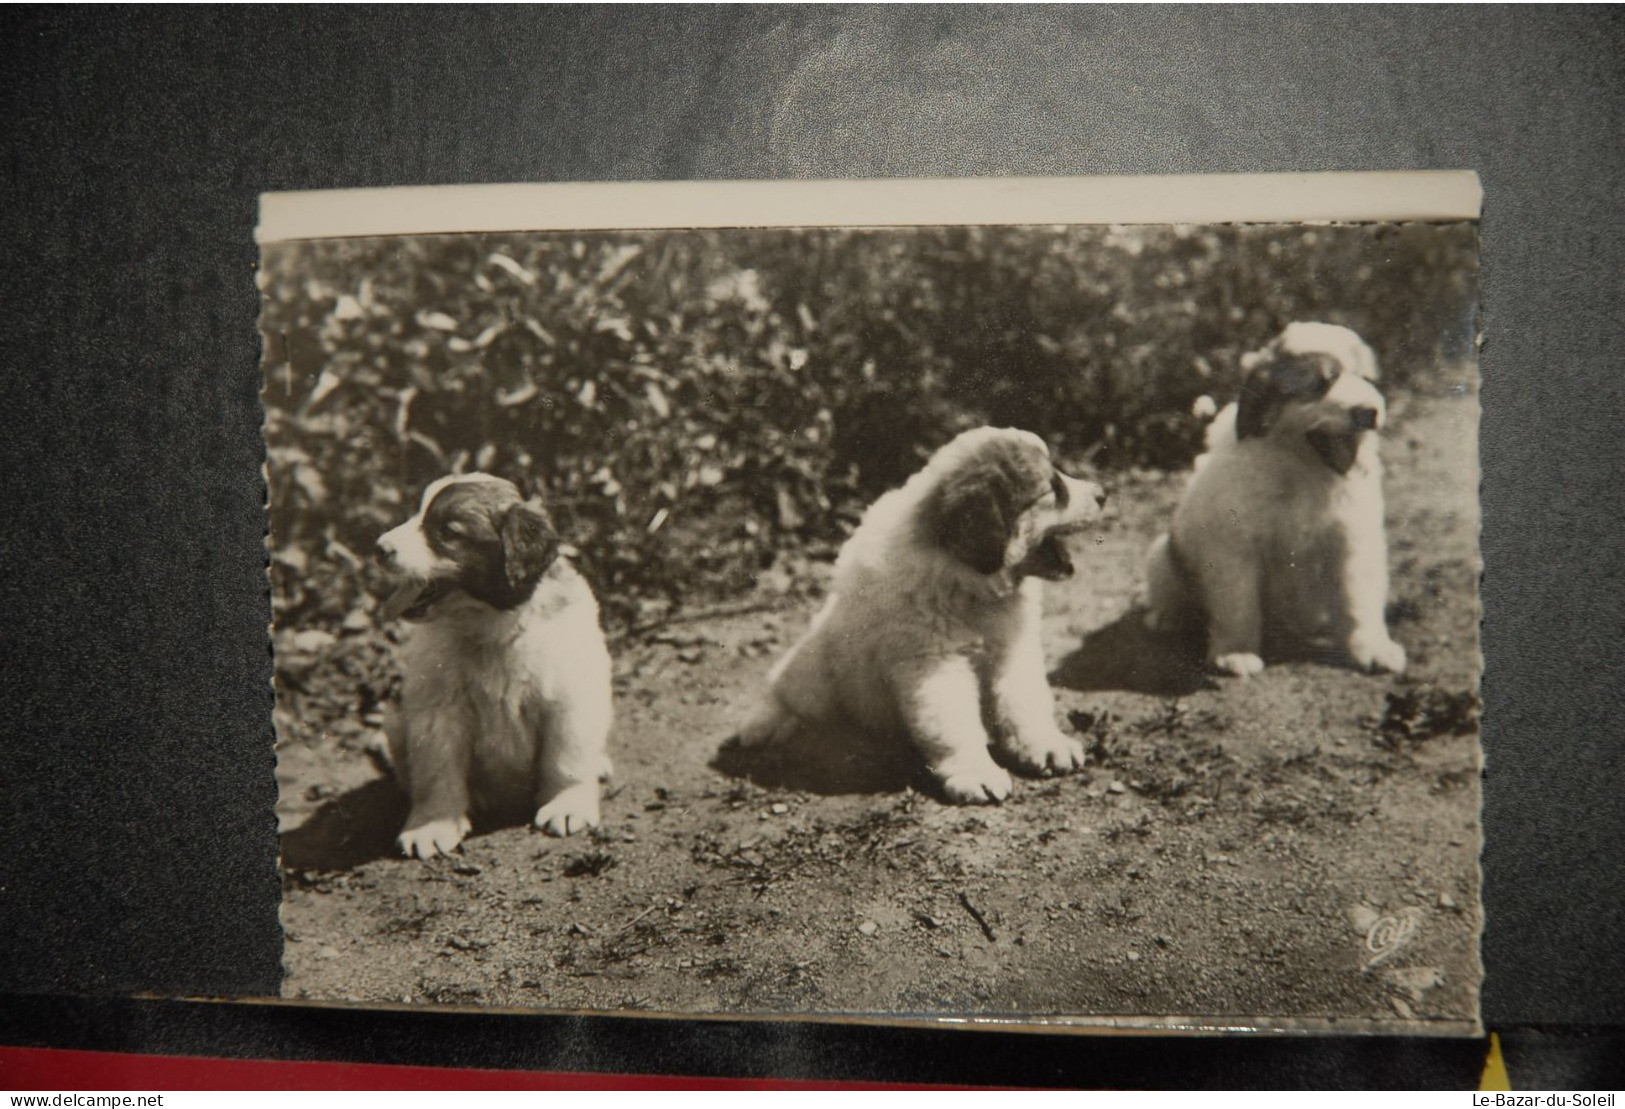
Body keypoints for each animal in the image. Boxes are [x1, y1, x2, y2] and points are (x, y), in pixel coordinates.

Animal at [373, 471, 614, 858]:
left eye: (448, 531)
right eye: (416, 514)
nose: (379, 548)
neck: (491, 626)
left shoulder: (570, 696)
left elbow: (566, 757)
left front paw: (567, 805)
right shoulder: (438, 710)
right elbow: (436, 771)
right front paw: (431, 825)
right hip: (396, 718)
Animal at [734, 426, 1105, 803]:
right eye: (1053, 489)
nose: (1103, 494)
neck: (970, 586)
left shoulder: (1013, 650)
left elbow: (1023, 702)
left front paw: (1046, 745)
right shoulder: (933, 662)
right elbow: (953, 724)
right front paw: (976, 772)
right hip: (817, 666)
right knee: (787, 691)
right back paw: (763, 725)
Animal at [1150, 321, 1404, 673]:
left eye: (1368, 380)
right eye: (1321, 384)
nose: (1370, 412)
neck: (1301, 465)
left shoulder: (1353, 541)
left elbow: (1359, 598)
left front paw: (1373, 648)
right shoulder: (1233, 548)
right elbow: (1238, 605)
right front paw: (1236, 653)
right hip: (1161, 554)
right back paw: (1165, 617)